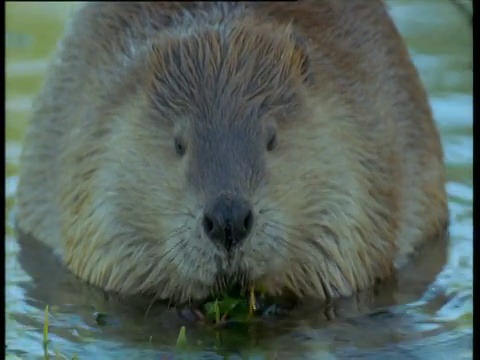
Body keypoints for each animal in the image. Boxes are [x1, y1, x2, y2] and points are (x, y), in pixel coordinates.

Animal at [15, 1, 450, 306]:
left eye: (271, 138)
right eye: (179, 143)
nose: (228, 219)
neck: (224, 50)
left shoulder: (361, 153)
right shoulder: (97, 150)